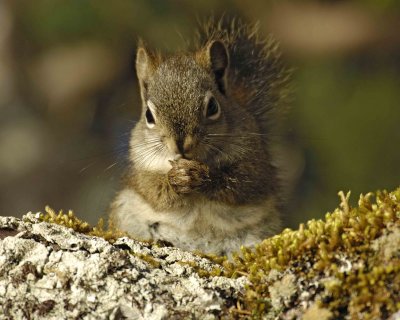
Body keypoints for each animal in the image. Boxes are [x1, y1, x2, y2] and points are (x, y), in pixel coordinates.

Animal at [109, 18, 290, 256]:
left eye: (212, 106)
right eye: (148, 115)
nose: (180, 145)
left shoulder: (255, 160)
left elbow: (244, 183)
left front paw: (200, 176)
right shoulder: (139, 167)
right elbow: (153, 190)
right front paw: (174, 179)